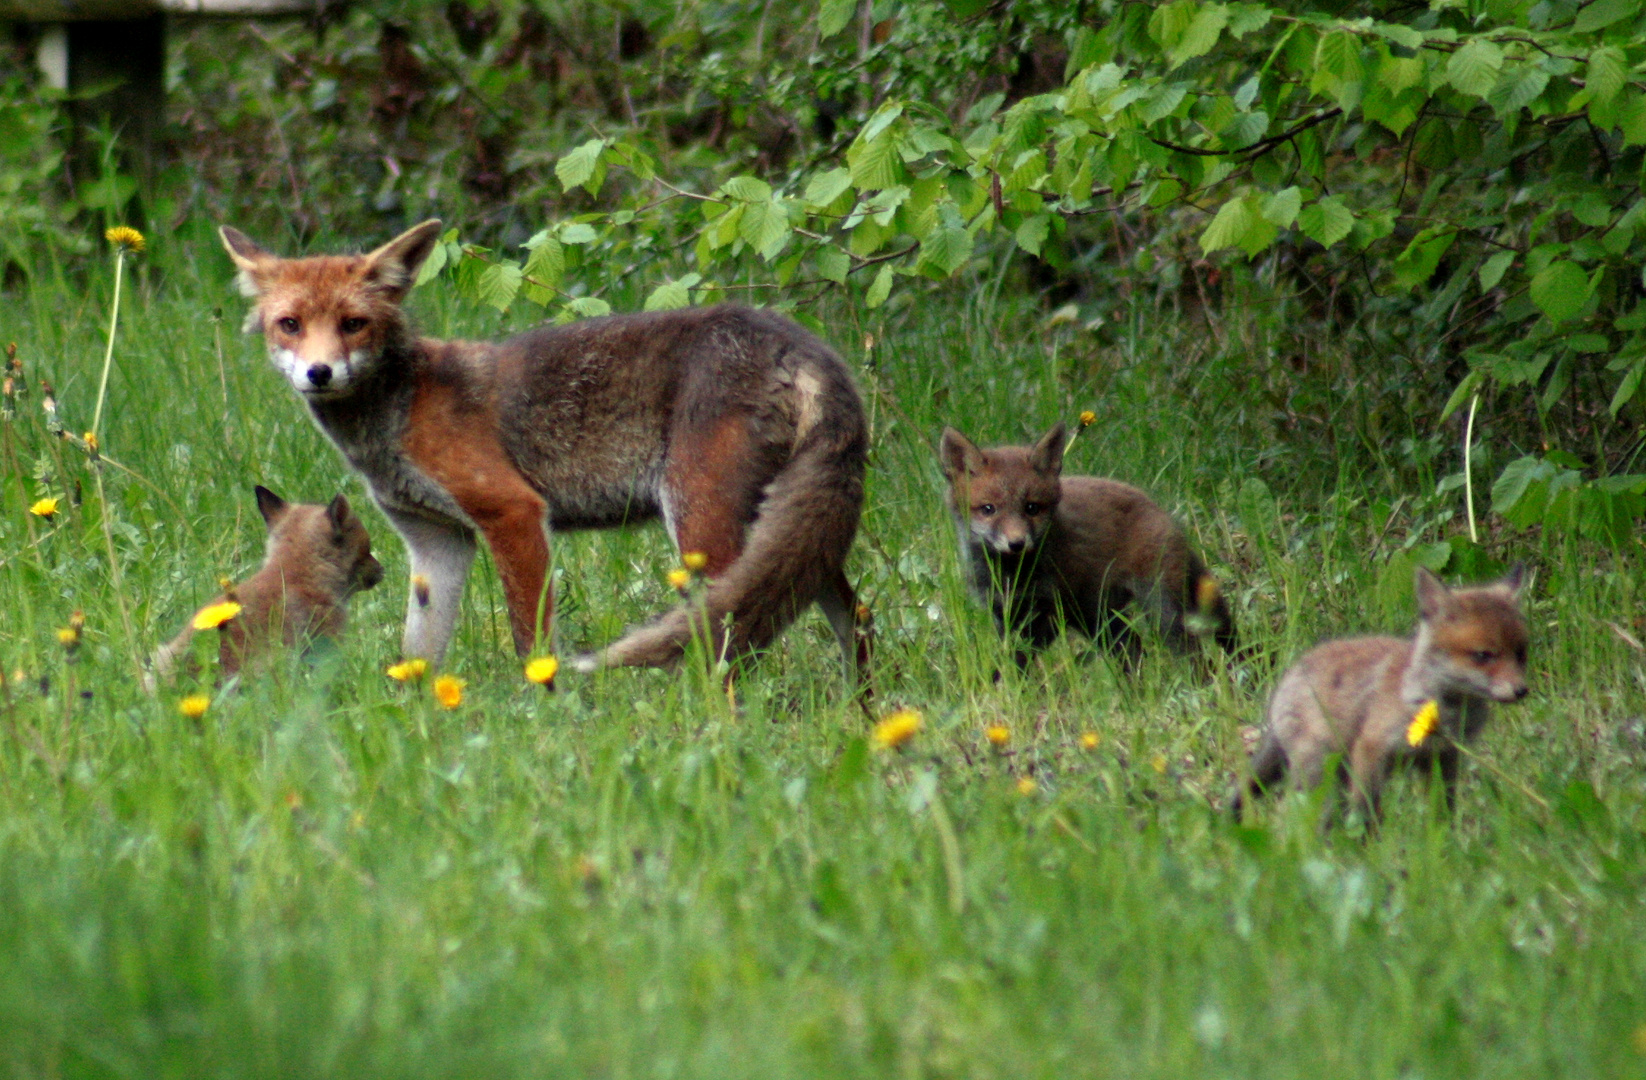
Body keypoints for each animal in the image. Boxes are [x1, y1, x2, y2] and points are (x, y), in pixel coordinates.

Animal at [218, 217, 875, 684]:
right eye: (290, 324)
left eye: (353, 324)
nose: (319, 373)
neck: (395, 415)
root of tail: (801, 343)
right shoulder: (435, 541)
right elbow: (418, 653)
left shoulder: (512, 513)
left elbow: (530, 643)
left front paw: (548, 715)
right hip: (791, 538)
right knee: (856, 620)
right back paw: (862, 713)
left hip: (703, 527)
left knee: (731, 640)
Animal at [941, 424, 1237, 665]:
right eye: (988, 509)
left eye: (1032, 508)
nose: (1017, 543)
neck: (1009, 576)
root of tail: (1155, 506)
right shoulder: (1003, 612)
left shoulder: (1048, 614)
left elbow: (1018, 659)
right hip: (1095, 617)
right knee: (1134, 647)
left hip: (1159, 608)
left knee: (1191, 653)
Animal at [1237, 566, 1527, 819]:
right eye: (1483, 655)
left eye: (1521, 653)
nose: (1522, 690)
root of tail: (1289, 676)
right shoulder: (1371, 749)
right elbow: (1364, 812)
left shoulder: (1443, 758)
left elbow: (1442, 813)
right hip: (1320, 773)